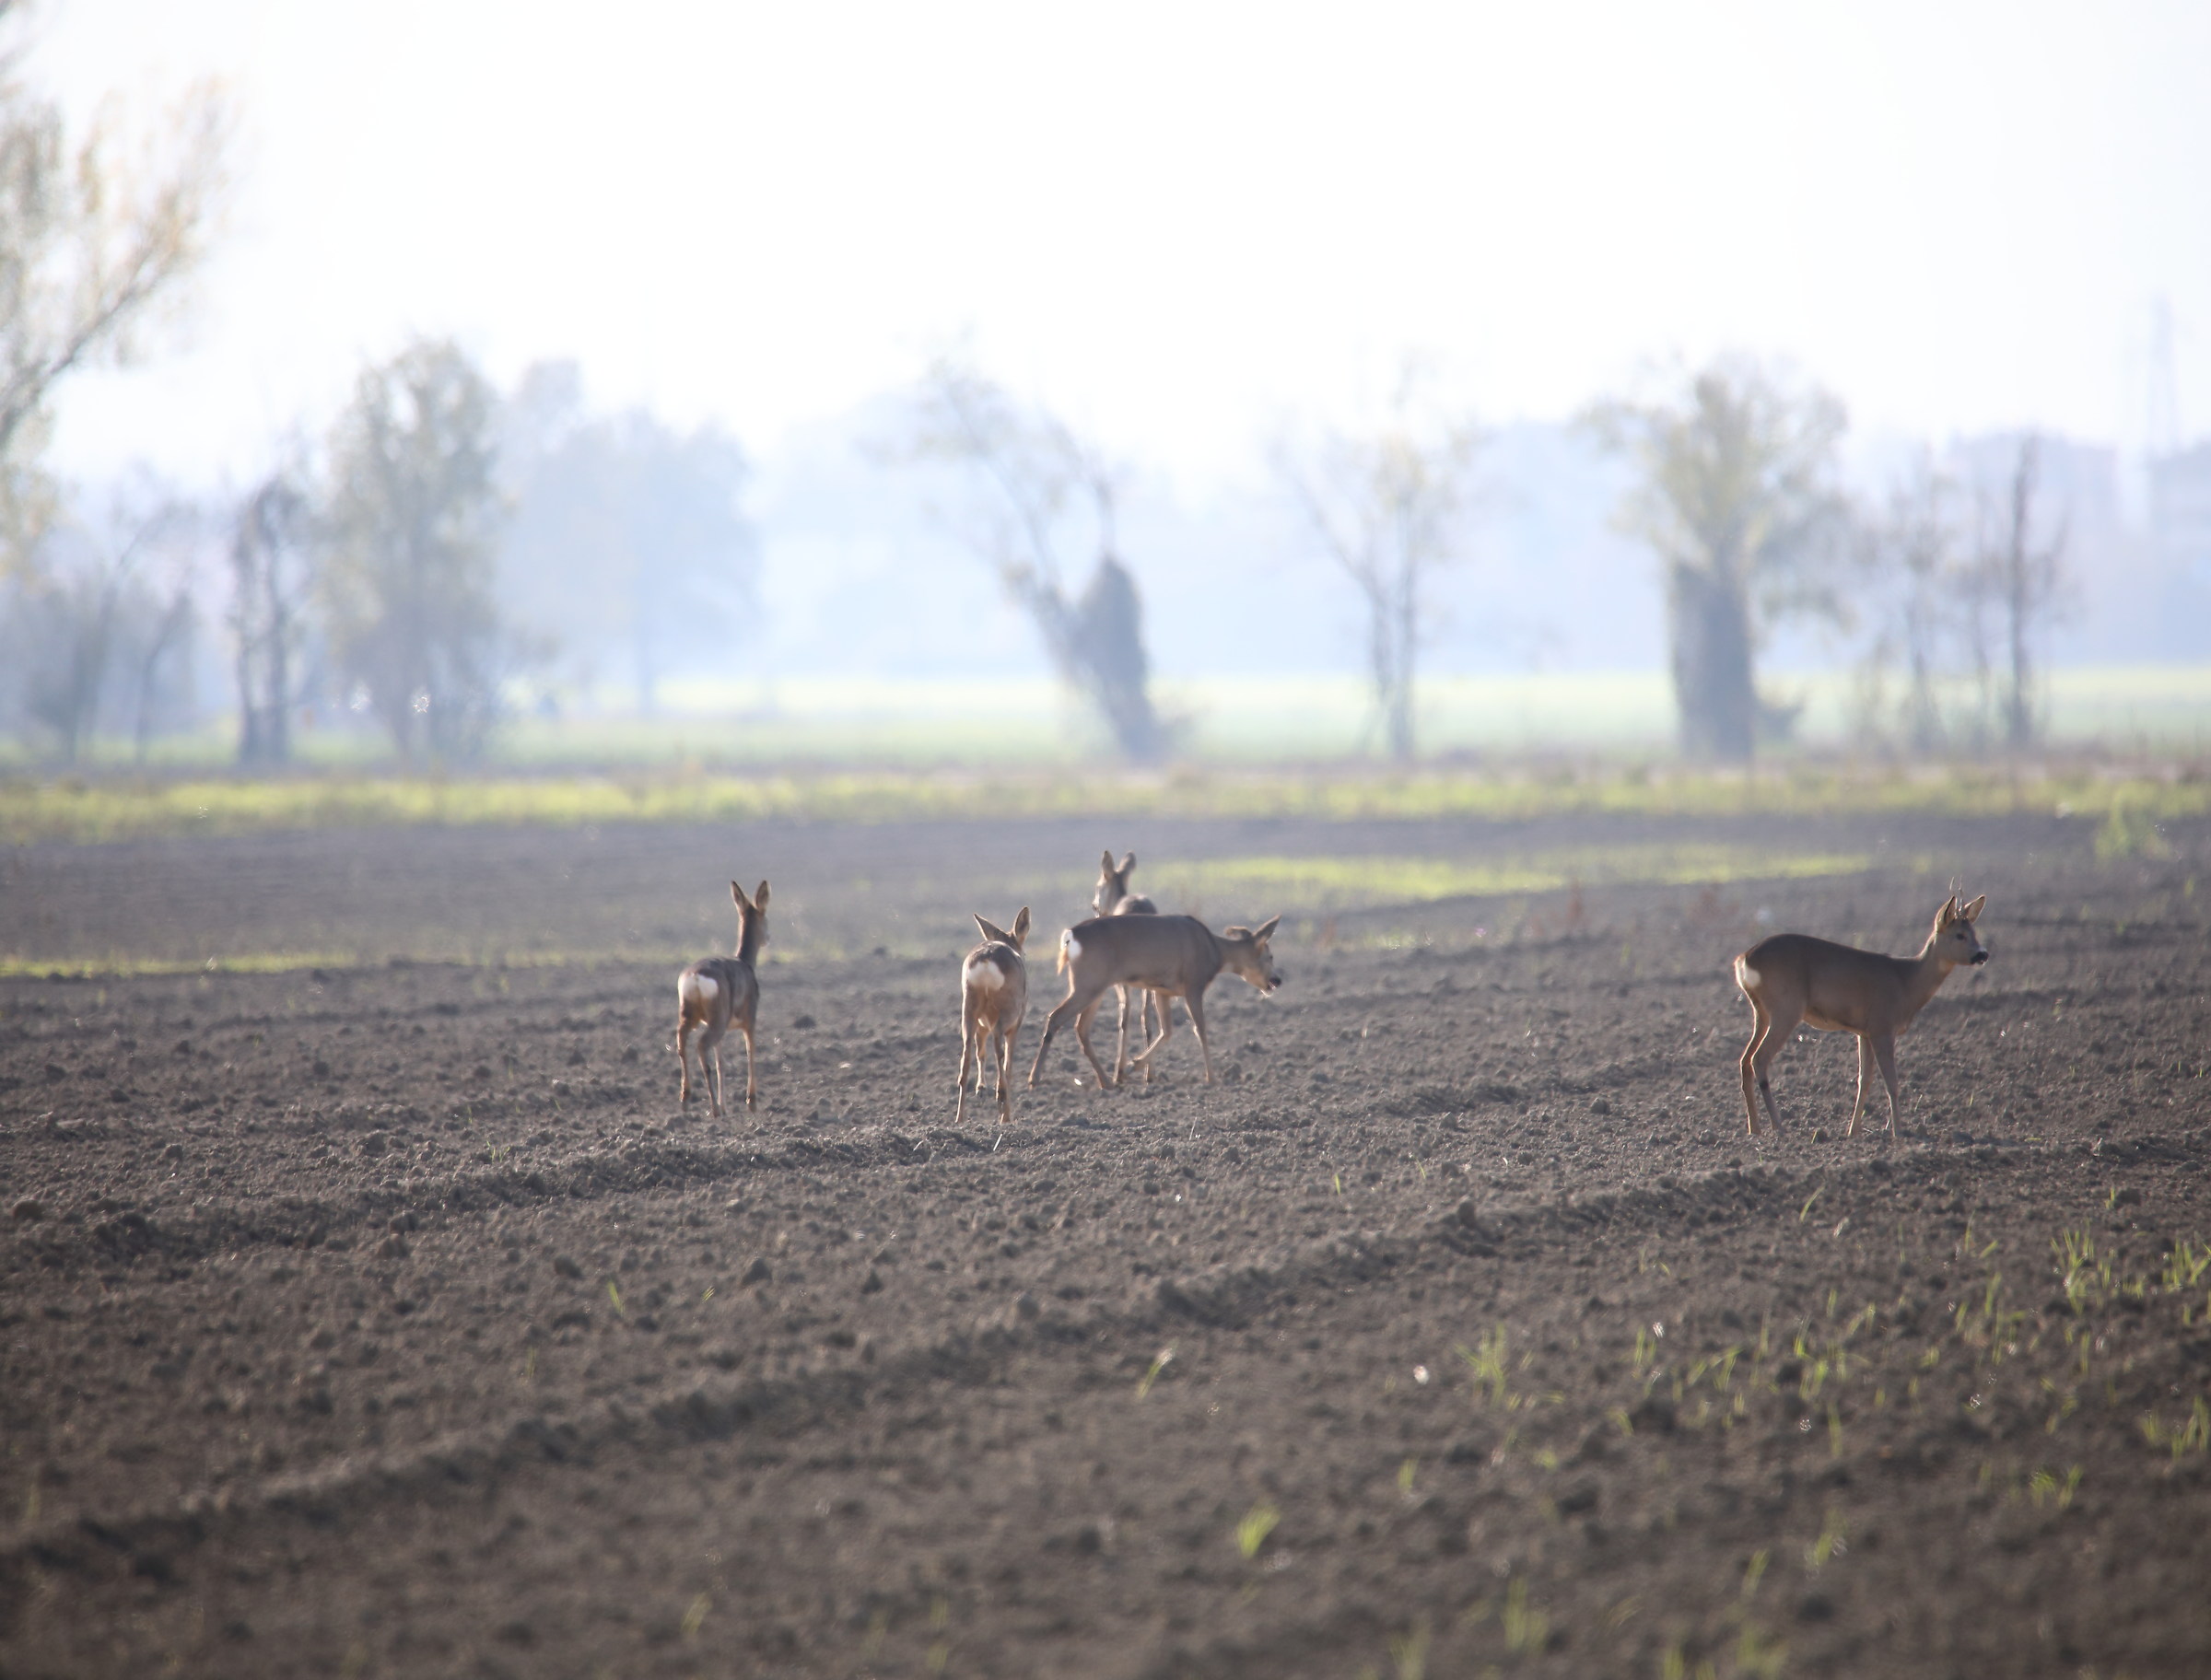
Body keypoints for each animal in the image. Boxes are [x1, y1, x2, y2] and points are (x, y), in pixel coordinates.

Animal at [676, 879, 770, 1118]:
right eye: (765, 918)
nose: (768, 938)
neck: (745, 962)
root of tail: (696, 978)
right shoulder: (750, 1018)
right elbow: (751, 1052)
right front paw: (751, 1101)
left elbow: (722, 1062)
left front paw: (726, 1104)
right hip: (717, 1018)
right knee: (701, 1044)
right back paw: (713, 1108)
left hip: (691, 1014)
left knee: (681, 1040)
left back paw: (687, 1099)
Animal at [957, 906, 1030, 1125]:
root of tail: (987, 958)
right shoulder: (1016, 1024)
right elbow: (1009, 1061)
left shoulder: (982, 1023)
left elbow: (981, 1052)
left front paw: (981, 1089)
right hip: (1007, 1012)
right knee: (999, 1048)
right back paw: (1003, 1107)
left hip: (969, 1009)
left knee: (966, 1057)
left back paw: (960, 1119)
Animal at [1028, 912, 1282, 1090]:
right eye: (1269, 956)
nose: (1277, 980)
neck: (1215, 952)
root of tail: (1070, 936)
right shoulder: (1193, 985)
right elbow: (1200, 1029)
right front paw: (1212, 1078)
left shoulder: (1162, 990)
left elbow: (1167, 1031)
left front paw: (1134, 1066)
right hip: (1088, 983)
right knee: (1056, 1017)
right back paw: (1034, 1079)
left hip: (1093, 987)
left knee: (1081, 1028)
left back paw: (1107, 1082)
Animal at [1093, 849, 1164, 1086]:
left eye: (1099, 886)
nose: (1095, 908)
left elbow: (1124, 1014)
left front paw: (1120, 1072)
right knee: (1147, 1014)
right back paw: (1148, 1073)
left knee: (1129, 1012)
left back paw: (1120, 1072)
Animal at [1734, 892, 1987, 1140]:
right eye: (1960, 935)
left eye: (1974, 932)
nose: (1982, 954)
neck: (1906, 981)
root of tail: (1743, 959)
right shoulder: (1882, 1027)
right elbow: (1891, 1082)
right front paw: (1898, 1132)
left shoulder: (1864, 1032)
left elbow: (1864, 1080)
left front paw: (1853, 1131)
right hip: (1786, 1008)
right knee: (1759, 1059)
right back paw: (1779, 1127)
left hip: (1761, 1011)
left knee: (1745, 1060)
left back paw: (1754, 1128)